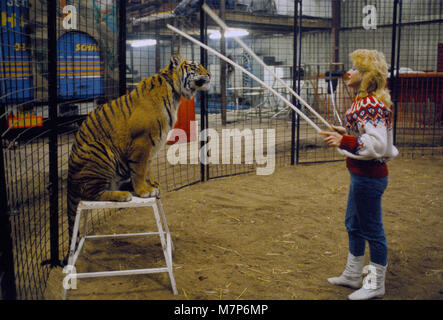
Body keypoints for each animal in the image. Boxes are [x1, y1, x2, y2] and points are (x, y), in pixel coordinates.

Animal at [66, 55, 212, 244]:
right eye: (195, 66)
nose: (209, 74)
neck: (173, 92)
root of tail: (69, 178)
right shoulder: (142, 141)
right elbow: (140, 168)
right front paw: (144, 190)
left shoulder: (154, 142)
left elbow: (147, 166)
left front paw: (151, 184)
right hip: (100, 150)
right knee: (91, 193)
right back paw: (122, 195)